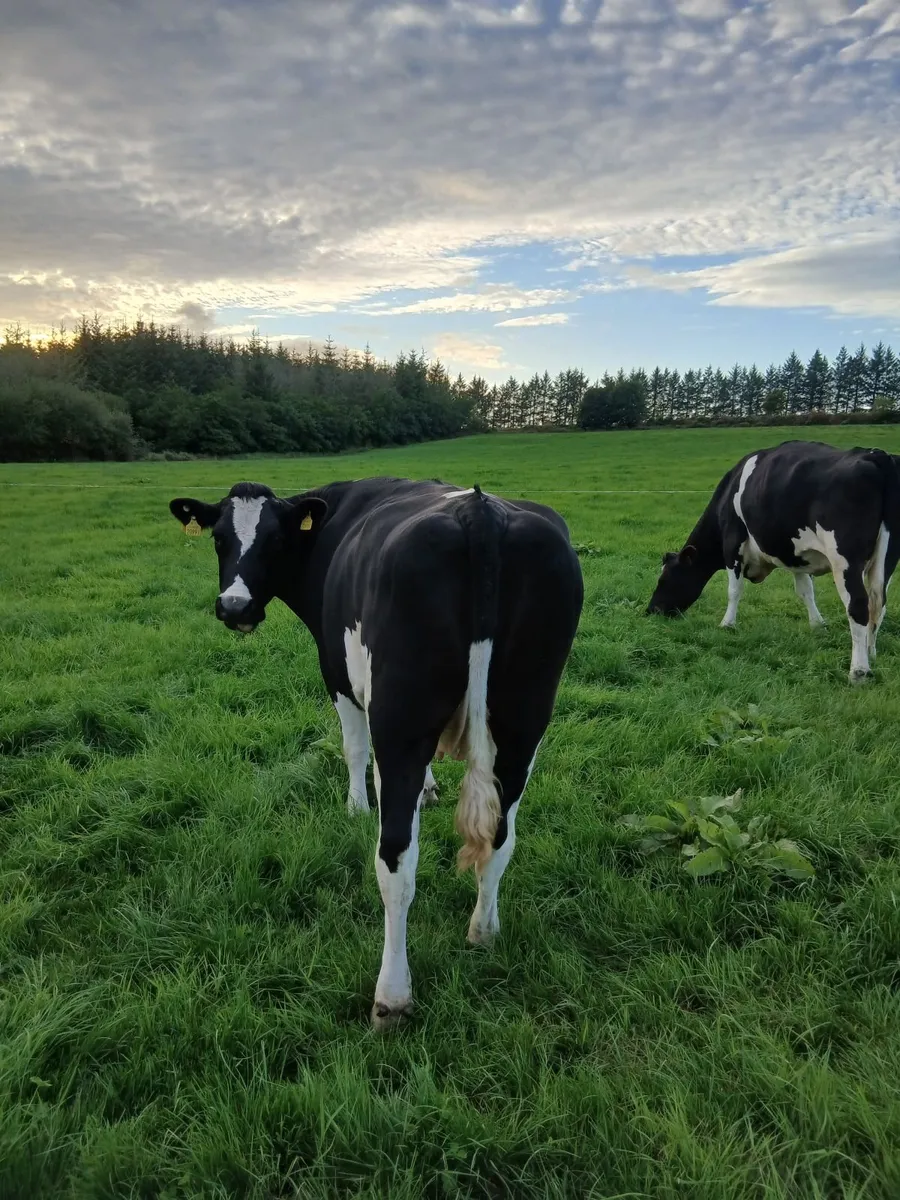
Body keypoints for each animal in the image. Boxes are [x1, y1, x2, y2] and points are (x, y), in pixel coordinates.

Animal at [170, 477, 583, 1029]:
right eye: (218, 538)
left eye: (275, 540)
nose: (234, 607)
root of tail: (481, 512)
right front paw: (429, 789)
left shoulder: (339, 676)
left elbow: (353, 747)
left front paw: (355, 807)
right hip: (524, 720)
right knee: (500, 838)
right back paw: (483, 933)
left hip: (400, 720)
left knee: (396, 862)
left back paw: (391, 996)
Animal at [647, 440, 900, 683]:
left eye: (664, 579)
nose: (650, 611)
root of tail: (877, 455)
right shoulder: (796, 556)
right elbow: (806, 591)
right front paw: (818, 625)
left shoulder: (732, 546)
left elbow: (734, 590)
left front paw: (727, 624)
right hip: (886, 560)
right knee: (878, 603)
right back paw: (871, 653)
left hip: (845, 560)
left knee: (858, 604)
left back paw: (859, 671)